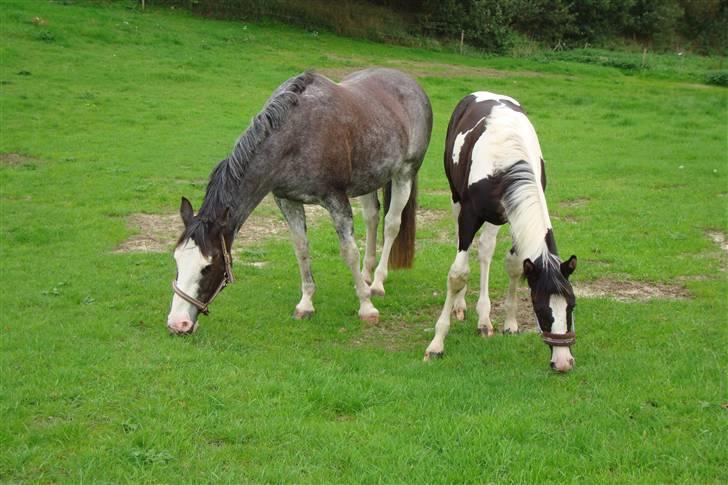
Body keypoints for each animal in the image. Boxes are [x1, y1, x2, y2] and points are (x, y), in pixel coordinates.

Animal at [166, 67, 432, 332]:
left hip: (404, 174)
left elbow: (349, 252)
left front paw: (366, 307)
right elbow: (301, 248)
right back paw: (366, 276)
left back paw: (376, 284)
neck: (296, 137)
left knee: (391, 225)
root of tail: (409, 82)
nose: (178, 323)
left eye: (208, 266)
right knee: (372, 218)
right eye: (177, 260)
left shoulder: (336, 199)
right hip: (369, 179)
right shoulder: (287, 201)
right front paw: (306, 304)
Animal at [424, 91, 576, 370]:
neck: (507, 162)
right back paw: (461, 305)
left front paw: (510, 323)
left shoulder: (516, 216)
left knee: (485, 250)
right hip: (456, 199)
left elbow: (515, 265)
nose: (562, 362)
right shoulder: (469, 215)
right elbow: (458, 274)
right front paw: (436, 344)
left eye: (571, 306)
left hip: (496, 217)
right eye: (540, 309)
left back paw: (484, 319)